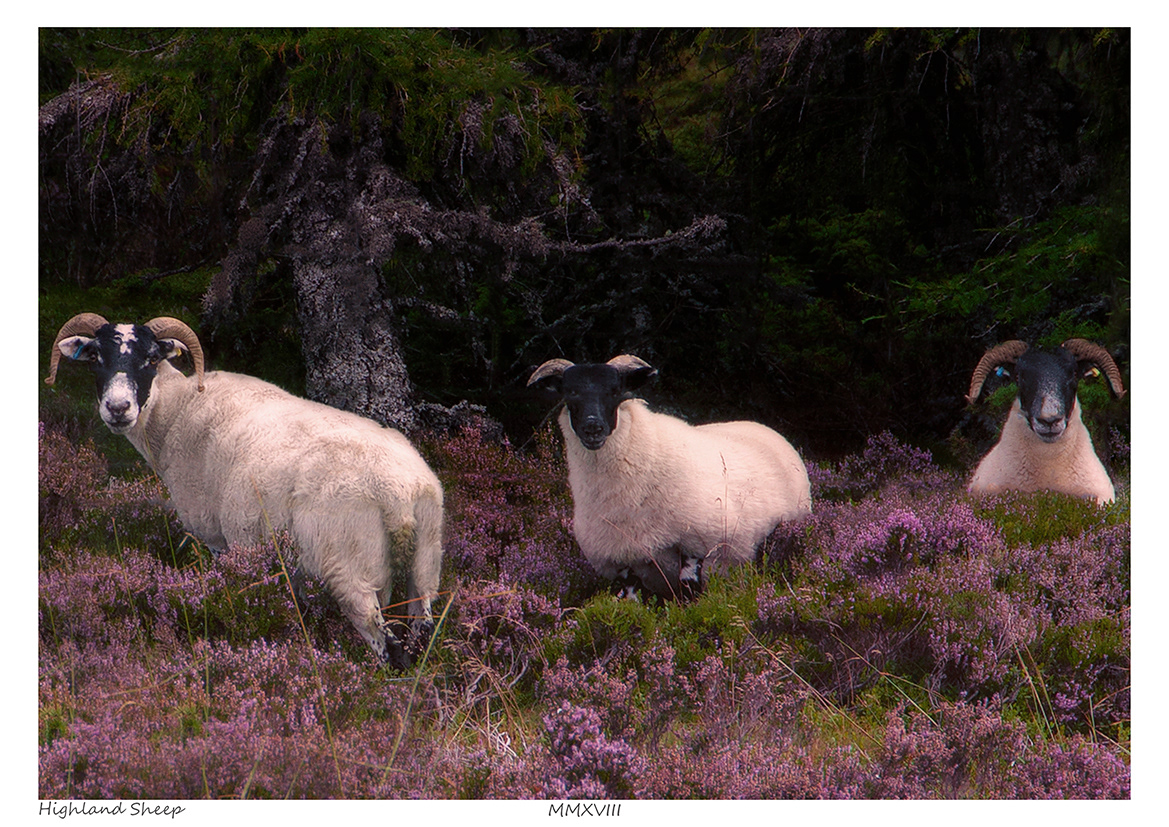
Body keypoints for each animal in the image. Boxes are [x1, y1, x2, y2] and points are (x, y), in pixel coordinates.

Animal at [45, 312, 444, 668]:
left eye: (151, 358)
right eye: (96, 356)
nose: (118, 408)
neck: (176, 412)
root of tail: (399, 494)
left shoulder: (215, 537)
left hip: (350, 570)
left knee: (391, 649)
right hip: (426, 564)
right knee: (421, 637)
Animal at [528, 355, 812, 599]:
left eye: (616, 391)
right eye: (570, 392)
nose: (593, 428)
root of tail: (765, 428)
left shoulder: (695, 545)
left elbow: (688, 598)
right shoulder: (623, 561)